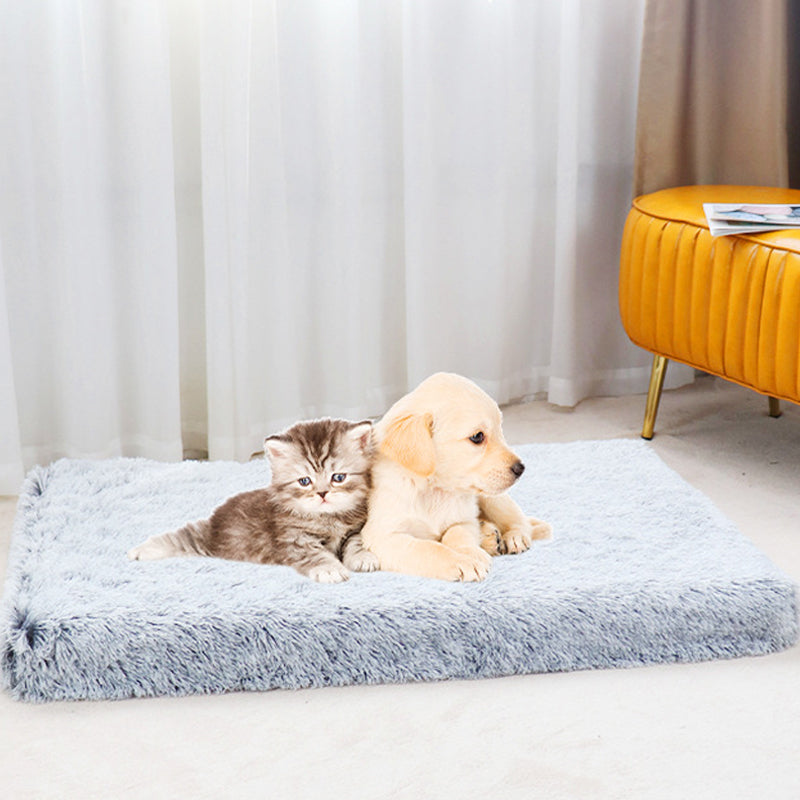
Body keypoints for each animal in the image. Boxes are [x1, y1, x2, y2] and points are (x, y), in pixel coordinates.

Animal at [130, 418, 380, 580]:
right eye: (304, 481)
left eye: (338, 477)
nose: (322, 493)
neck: (328, 518)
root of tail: (216, 519)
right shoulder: (292, 539)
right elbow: (313, 554)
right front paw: (330, 569)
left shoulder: (355, 527)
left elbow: (356, 541)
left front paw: (363, 557)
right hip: (210, 541)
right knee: (181, 537)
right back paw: (139, 551)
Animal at [360, 368, 552, 580]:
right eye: (477, 437)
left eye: (500, 429)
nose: (521, 468)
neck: (434, 489)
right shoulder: (383, 537)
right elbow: (430, 548)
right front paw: (460, 561)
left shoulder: (464, 520)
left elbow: (457, 535)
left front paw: (470, 553)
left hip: (493, 498)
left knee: (519, 519)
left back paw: (514, 536)